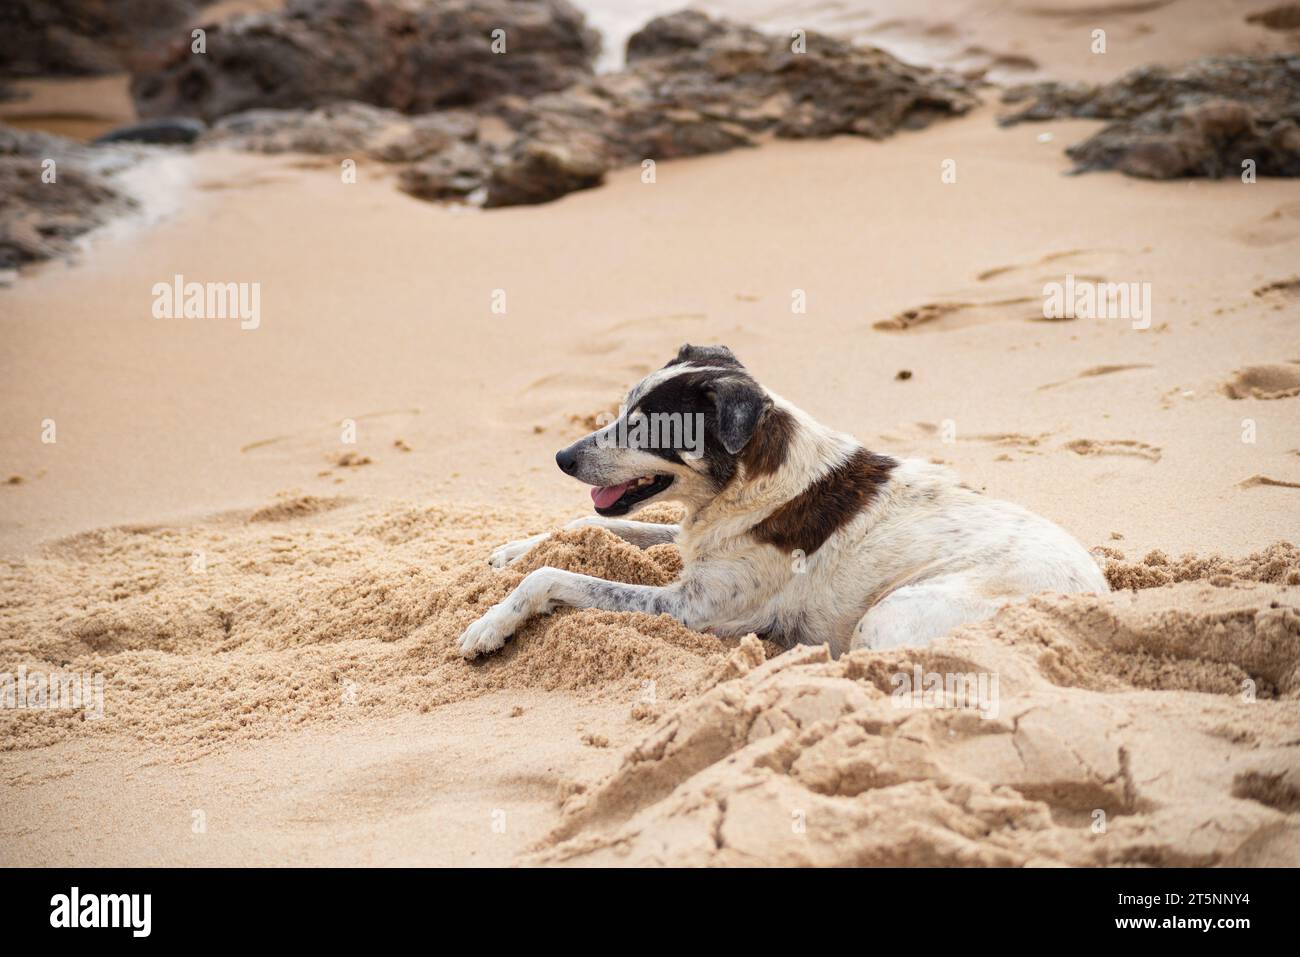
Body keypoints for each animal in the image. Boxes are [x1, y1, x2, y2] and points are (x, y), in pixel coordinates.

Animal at [457, 343, 1107, 657]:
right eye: (620, 413)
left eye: (649, 429)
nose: (562, 458)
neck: (753, 480)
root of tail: (1101, 602)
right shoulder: (699, 543)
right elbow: (581, 526)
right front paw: (512, 550)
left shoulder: (691, 609)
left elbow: (552, 577)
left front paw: (487, 627)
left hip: (891, 613)